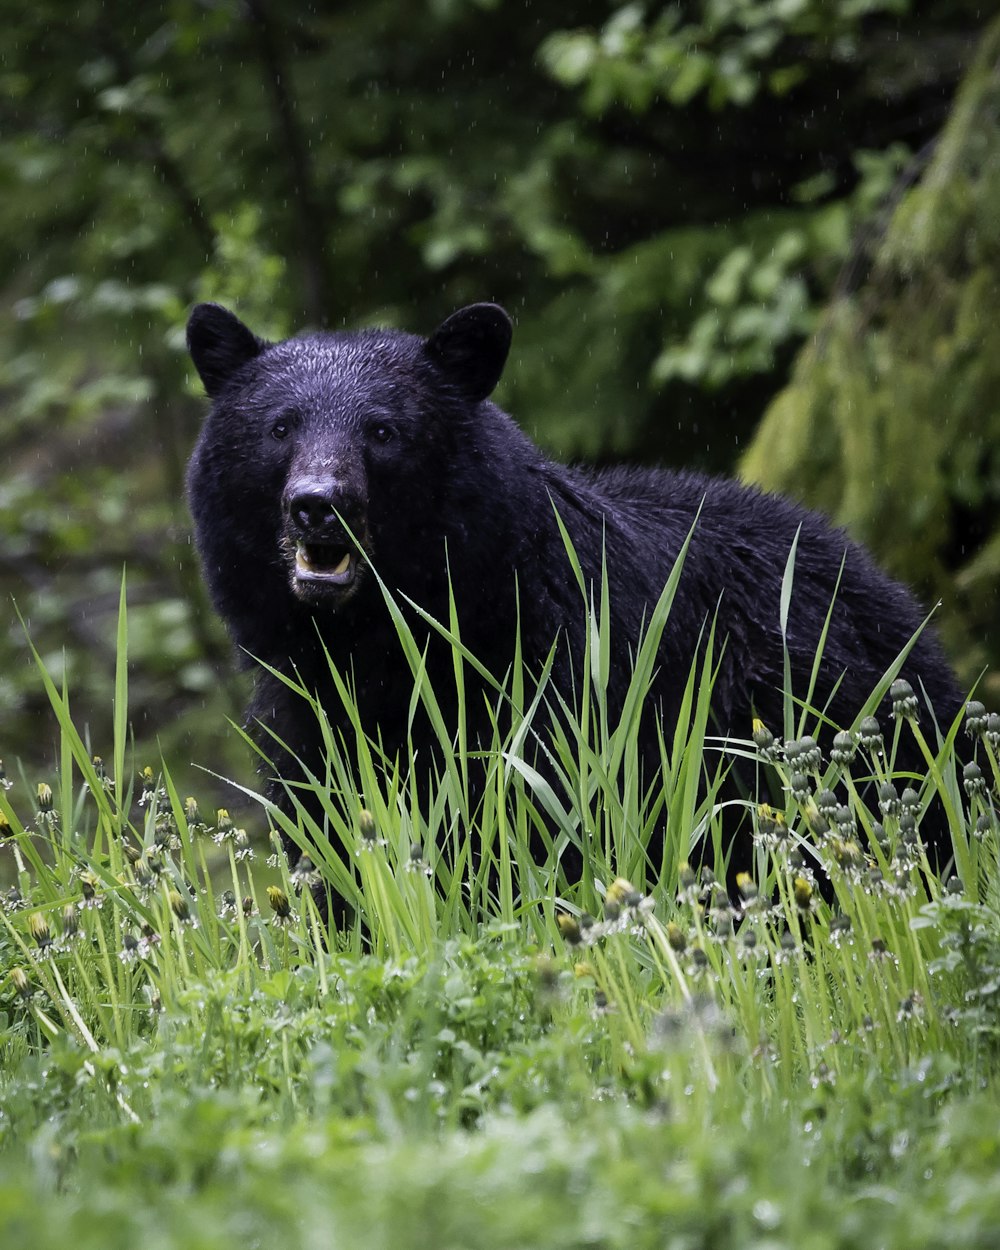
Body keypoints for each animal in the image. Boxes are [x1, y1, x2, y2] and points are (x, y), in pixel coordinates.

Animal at [185, 301, 960, 865]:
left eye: (383, 431)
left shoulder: (563, 684)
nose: (319, 503)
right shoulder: (304, 713)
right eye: (280, 427)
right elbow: (331, 838)